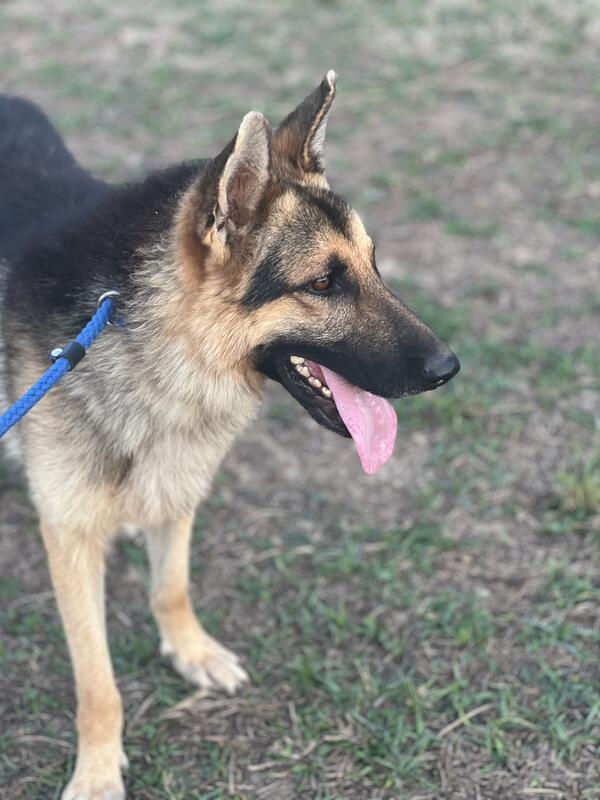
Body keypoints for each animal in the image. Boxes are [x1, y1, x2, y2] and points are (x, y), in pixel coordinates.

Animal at [0, 71, 459, 799]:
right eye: (323, 283)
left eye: (374, 265)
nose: (449, 369)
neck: (147, 341)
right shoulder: (68, 534)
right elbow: (97, 681)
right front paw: (98, 771)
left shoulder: (178, 487)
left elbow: (171, 586)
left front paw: (189, 650)